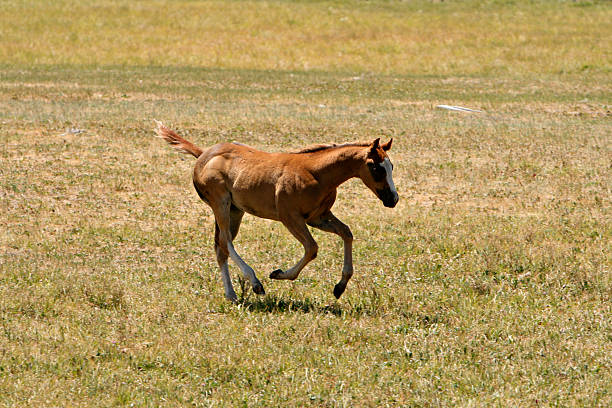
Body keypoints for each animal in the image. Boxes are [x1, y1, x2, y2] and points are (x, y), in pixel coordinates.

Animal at [155, 119, 400, 302]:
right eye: (376, 167)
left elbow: (347, 233)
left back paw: (231, 294)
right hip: (220, 204)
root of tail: (203, 154)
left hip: (235, 210)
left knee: (220, 248)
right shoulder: (290, 217)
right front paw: (279, 274)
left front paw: (339, 287)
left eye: (391, 166)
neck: (316, 173)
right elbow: (312, 248)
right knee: (226, 243)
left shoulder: (317, 217)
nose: (393, 199)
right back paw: (255, 283)